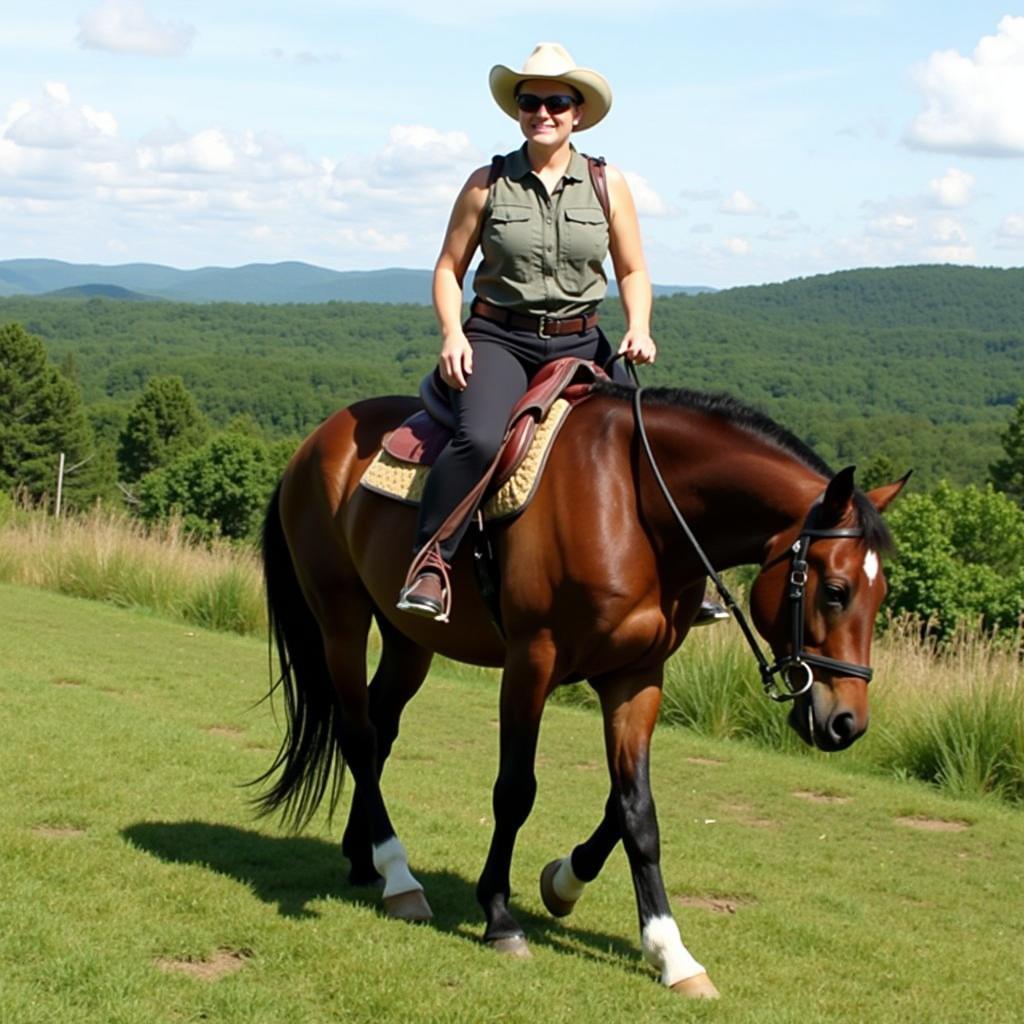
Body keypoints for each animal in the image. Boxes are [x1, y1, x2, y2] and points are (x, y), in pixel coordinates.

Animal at [253, 374, 905, 991]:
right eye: (835, 591)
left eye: (881, 596)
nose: (847, 722)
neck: (639, 509)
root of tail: (317, 442)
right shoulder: (532, 662)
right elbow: (515, 791)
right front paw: (500, 916)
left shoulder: (637, 677)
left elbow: (634, 809)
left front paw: (654, 942)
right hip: (340, 617)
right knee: (359, 736)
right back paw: (399, 876)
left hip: (407, 640)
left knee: (380, 729)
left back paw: (365, 859)